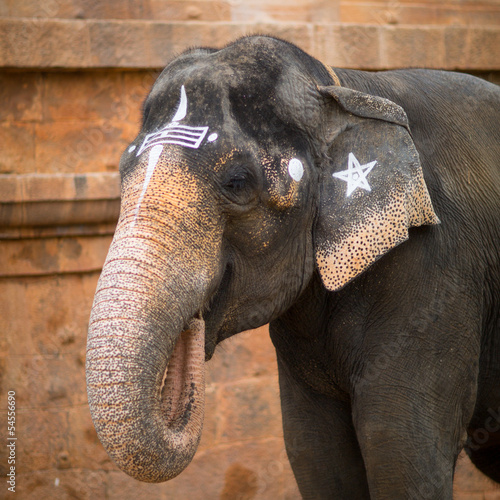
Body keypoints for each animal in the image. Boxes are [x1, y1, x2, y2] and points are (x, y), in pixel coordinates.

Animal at [86, 34, 500, 496]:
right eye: (122, 173)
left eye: (237, 182)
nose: (192, 326)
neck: (339, 89)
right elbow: (314, 451)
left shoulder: (438, 276)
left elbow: (401, 451)